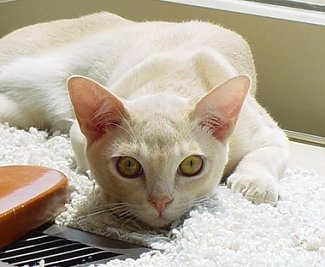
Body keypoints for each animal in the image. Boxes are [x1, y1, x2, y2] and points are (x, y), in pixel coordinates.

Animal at [0, 12, 288, 228]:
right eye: (128, 165)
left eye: (191, 164)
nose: (160, 201)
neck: (174, 79)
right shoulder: (77, 133)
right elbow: (86, 162)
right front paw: (107, 194)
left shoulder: (270, 134)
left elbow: (266, 154)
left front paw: (254, 185)